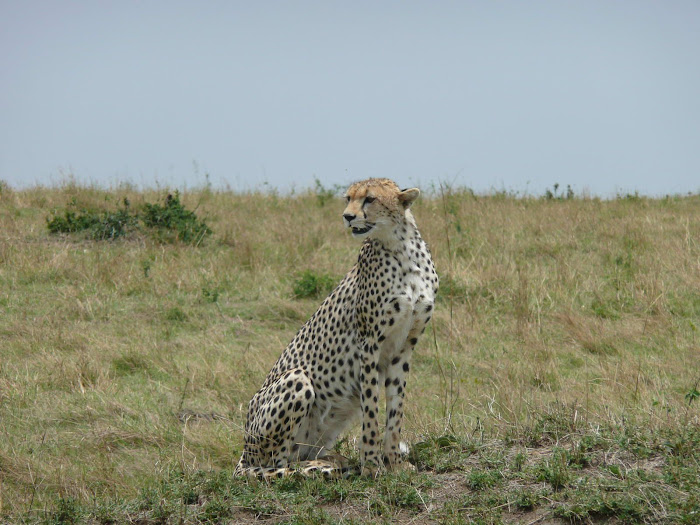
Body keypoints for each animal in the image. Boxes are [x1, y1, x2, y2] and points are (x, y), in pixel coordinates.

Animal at [238, 178, 440, 476]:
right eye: (348, 199)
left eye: (370, 199)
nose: (347, 217)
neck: (400, 248)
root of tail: (243, 453)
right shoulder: (369, 343)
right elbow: (371, 409)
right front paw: (372, 465)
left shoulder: (403, 348)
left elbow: (395, 410)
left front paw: (394, 462)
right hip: (295, 380)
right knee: (277, 466)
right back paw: (321, 467)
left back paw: (333, 460)